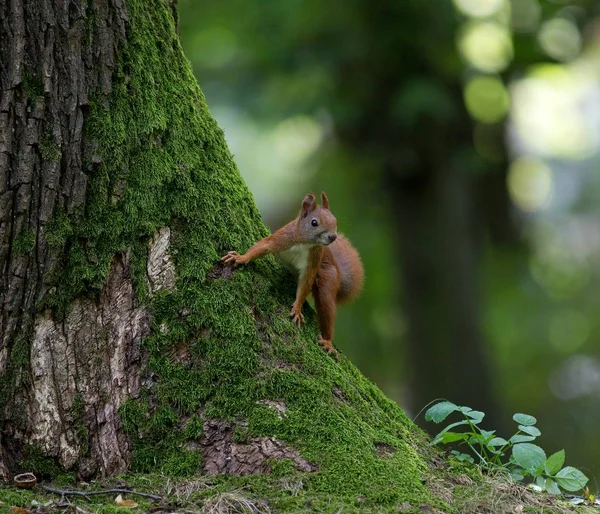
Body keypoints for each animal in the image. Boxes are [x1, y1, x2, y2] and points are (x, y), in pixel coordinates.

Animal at [223, 192, 364, 356]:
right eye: (314, 223)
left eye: (335, 221)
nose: (333, 237)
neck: (304, 243)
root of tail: (339, 273)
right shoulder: (283, 237)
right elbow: (263, 246)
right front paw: (241, 257)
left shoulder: (314, 260)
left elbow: (305, 284)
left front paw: (297, 308)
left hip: (329, 277)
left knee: (326, 303)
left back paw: (328, 341)